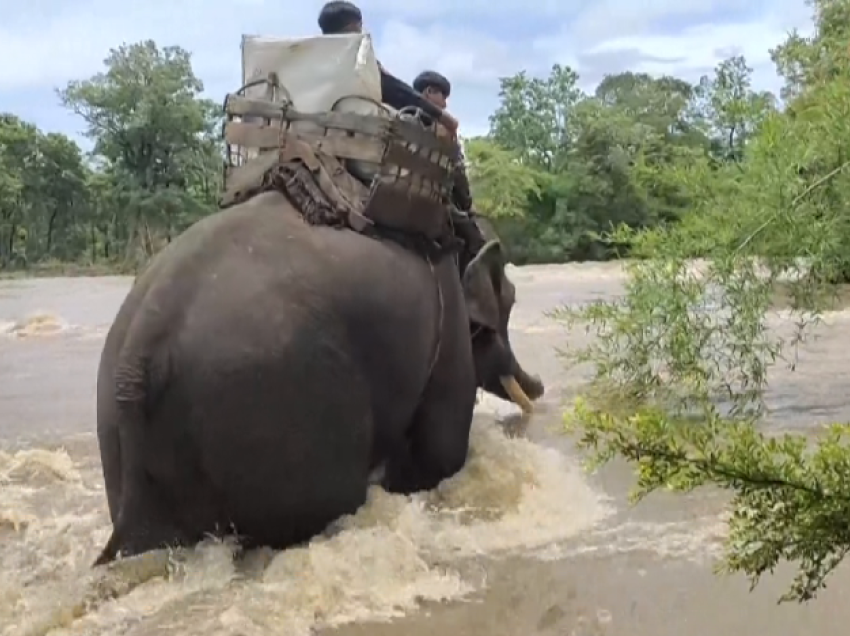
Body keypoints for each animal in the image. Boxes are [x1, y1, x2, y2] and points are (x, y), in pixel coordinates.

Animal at [94, 191, 544, 564]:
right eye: (509, 300)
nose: (539, 386)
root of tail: (140, 351)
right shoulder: (445, 320)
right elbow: (441, 452)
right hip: (281, 399)